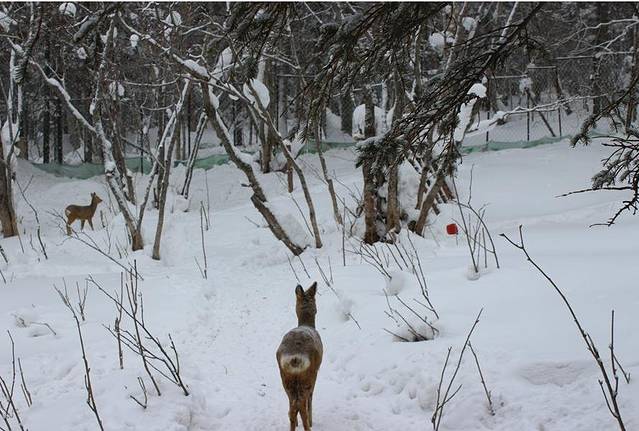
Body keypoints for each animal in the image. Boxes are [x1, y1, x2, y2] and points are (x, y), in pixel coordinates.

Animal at [276, 282, 323, 431]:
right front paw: (312, 422)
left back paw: (294, 425)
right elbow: (311, 400)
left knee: (292, 407)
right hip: (308, 376)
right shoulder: (316, 372)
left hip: (285, 378)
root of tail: (295, 358)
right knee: (302, 404)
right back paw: (308, 426)